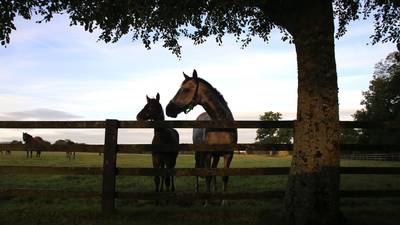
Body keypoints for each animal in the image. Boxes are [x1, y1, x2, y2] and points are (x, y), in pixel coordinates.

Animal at [166, 70, 238, 206]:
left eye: (185, 89)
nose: (168, 110)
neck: (220, 125)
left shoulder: (228, 154)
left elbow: (224, 176)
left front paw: (223, 201)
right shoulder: (208, 153)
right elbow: (207, 175)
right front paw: (206, 202)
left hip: (216, 155)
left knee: (214, 170)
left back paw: (215, 191)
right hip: (199, 153)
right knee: (198, 170)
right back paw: (198, 191)